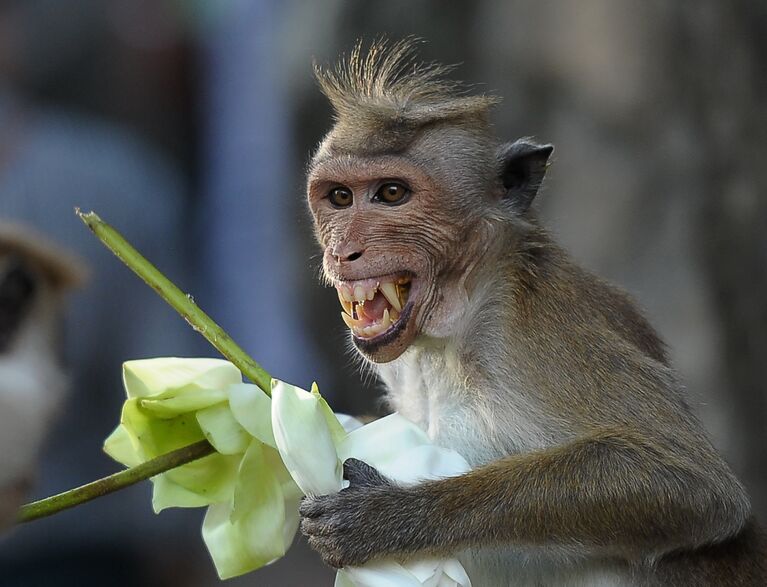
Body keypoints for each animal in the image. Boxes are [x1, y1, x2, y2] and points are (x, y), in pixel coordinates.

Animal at [296, 39, 764, 584]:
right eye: (340, 197)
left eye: (391, 193)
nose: (343, 251)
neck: (461, 317)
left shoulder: (534, 331)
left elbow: (691, 483)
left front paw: (383, 517)